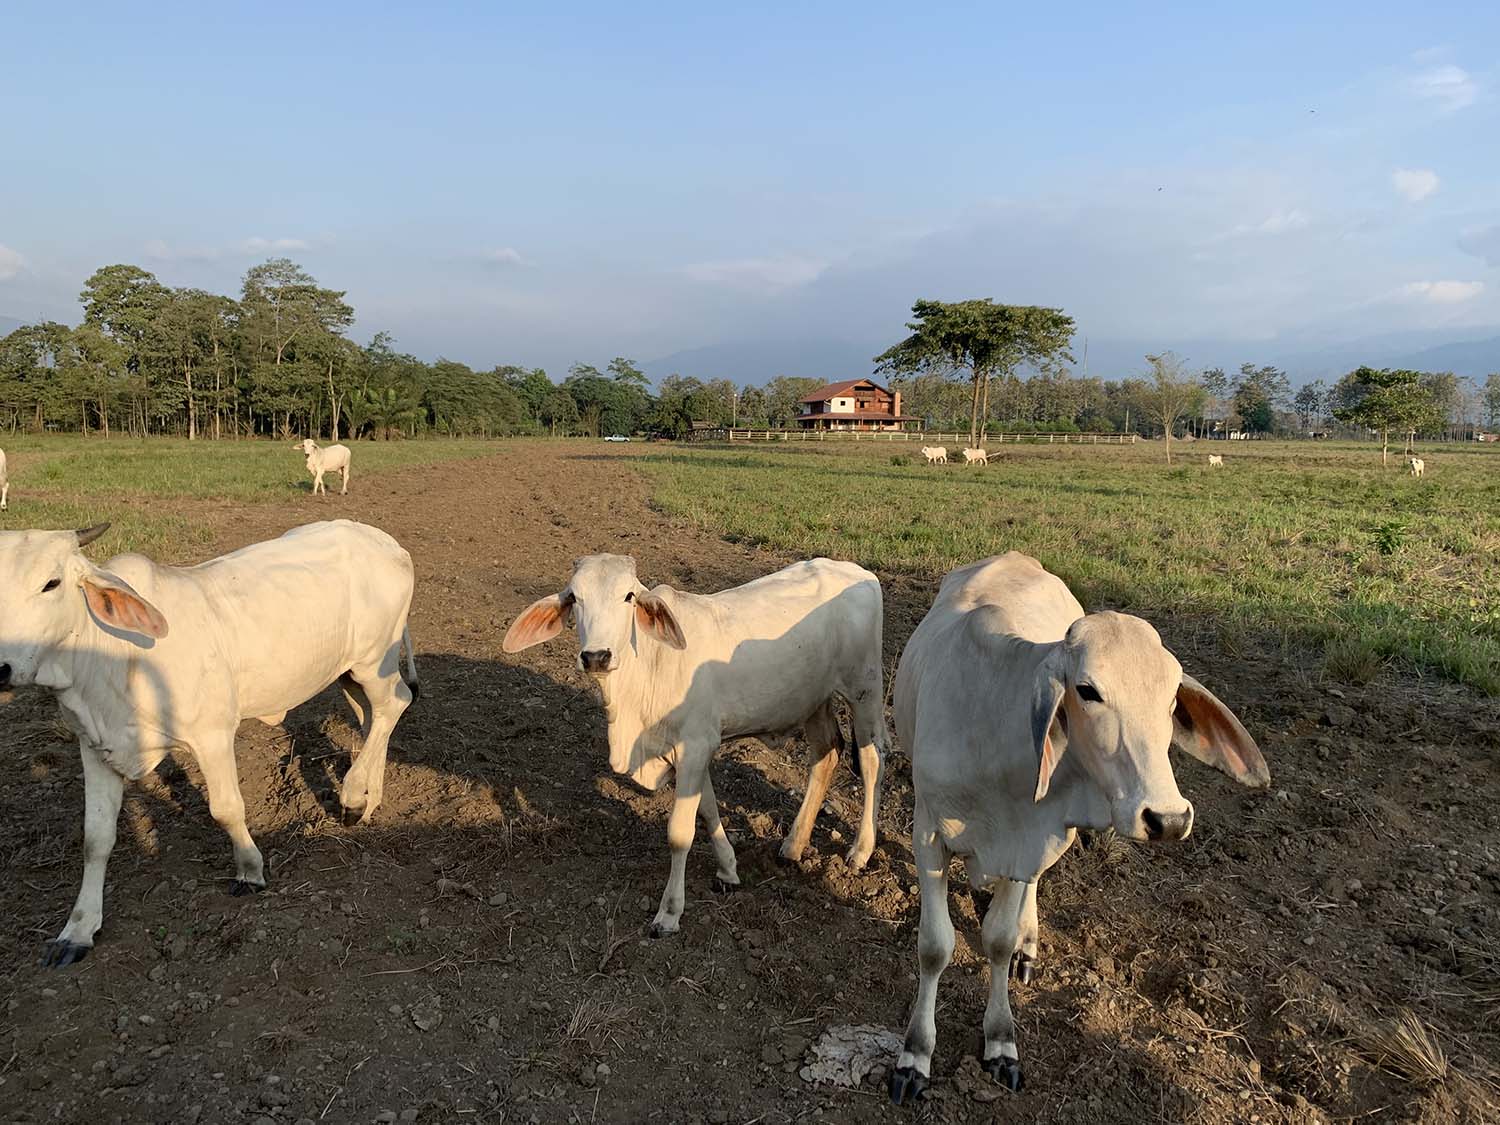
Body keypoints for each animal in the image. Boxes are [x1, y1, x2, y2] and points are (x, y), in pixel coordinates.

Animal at [0, 520, 418, 967]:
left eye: (51, 583)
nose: (0, 668)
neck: (112, 657)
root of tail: (383, 541)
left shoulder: (212, 734)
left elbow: (226, 809)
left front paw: (250, 871)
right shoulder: (95, 747)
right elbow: (96, 839)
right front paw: (77, 930)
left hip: (373, 661)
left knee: (395, 704)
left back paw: (355, 796)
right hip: (349, 672)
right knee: (373, 717)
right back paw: (371, 796)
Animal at [502, 554, 889, 937]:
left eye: (628, 596)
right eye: (574, 598)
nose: (596, 656)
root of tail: (859, 572)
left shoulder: (695, 746)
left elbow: (680, 832)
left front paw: (669, 912)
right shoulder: (689, 751)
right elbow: (708, 808)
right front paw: (728, 869)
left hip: (864, 691)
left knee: (873, 761)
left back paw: (860, 850)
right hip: (813, 701)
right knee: (826, 754)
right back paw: (793, 845)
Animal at [887, 553, 1269, 1102]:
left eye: (1172, 698)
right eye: (1087, 691)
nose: (1168, 818)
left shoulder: (1031, 841)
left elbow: (997, 939)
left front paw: (1000, 1038)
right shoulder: (929, 836)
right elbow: (935, 947)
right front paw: (915, 1055)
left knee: (1029, 894)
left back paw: (1028, 941)